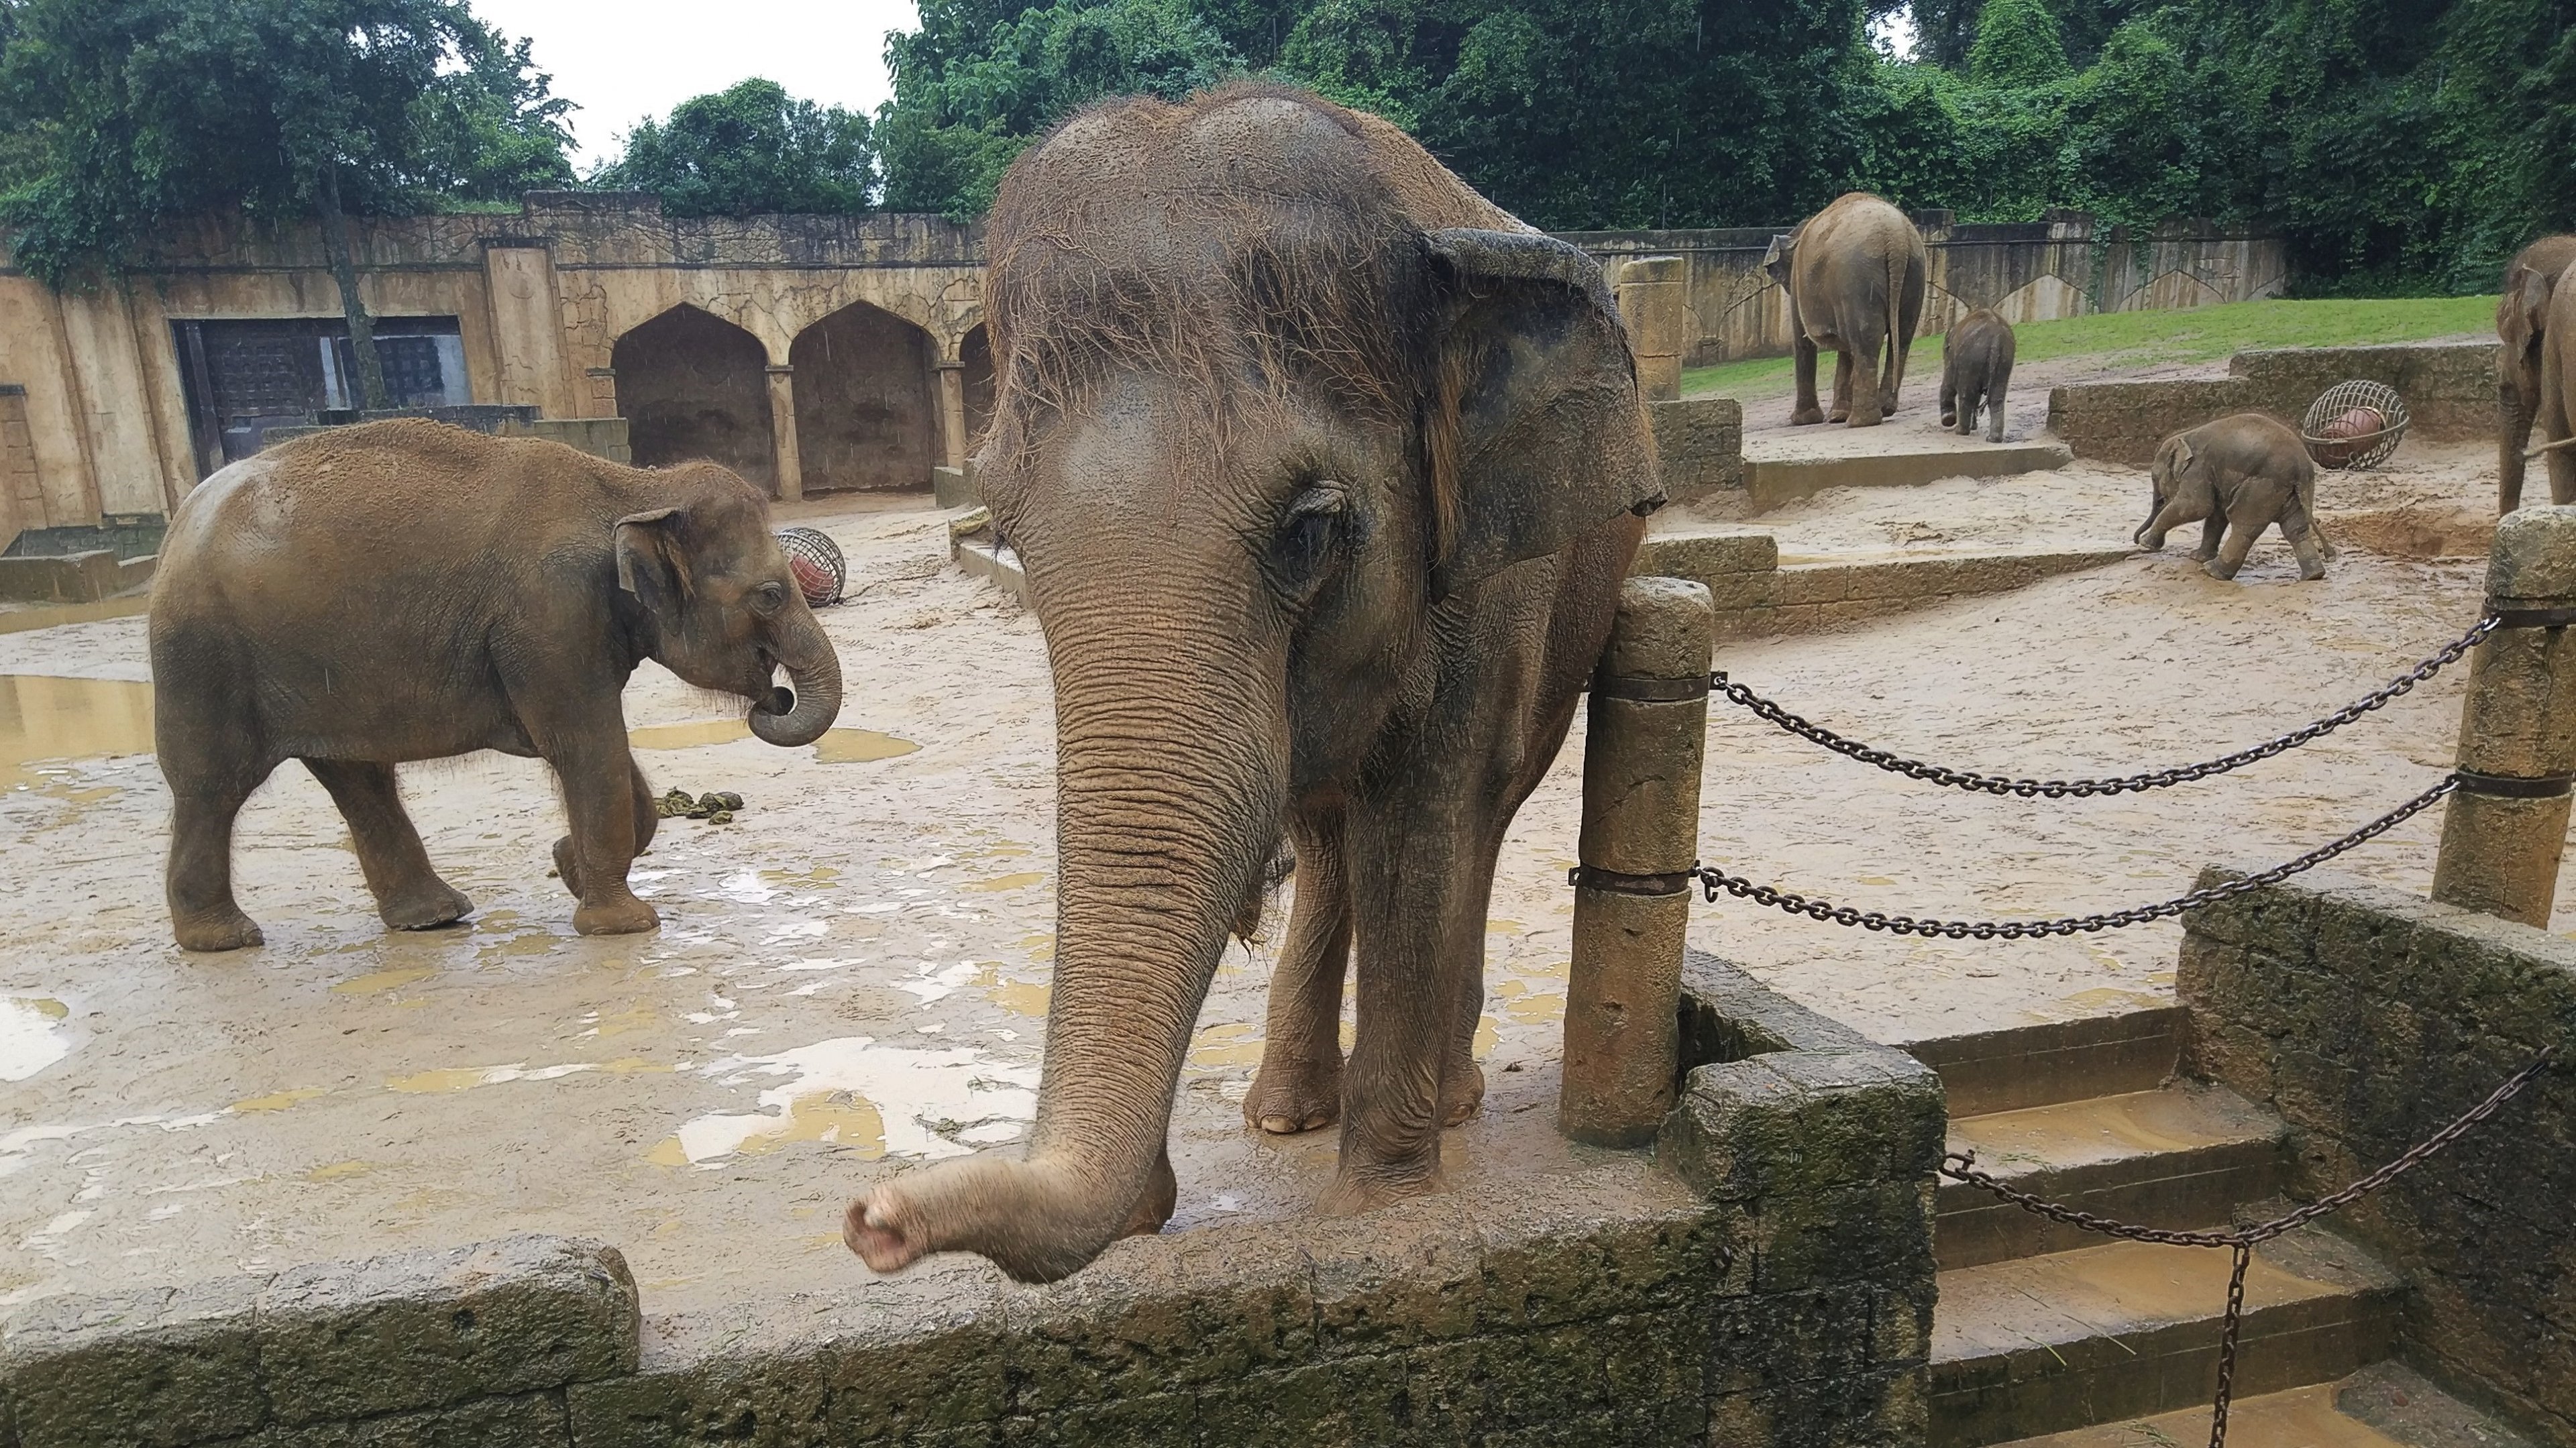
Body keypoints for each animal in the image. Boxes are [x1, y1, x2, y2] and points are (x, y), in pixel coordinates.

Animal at [149, 418, 842, 951]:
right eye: (771, 594)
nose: (775, 698)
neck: (632, 485)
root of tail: (178, 524)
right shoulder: (548, 618)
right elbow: (586, 745)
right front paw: (623, 925)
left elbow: (602, 756)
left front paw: (566, 863)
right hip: (203, 659)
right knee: (213, 783)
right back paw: (224, 939)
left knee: (359, 777)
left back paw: (434, 917)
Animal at [841, 82, 1661, 1284]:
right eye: (1006, 527)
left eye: (1310, 529)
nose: (875, 1217)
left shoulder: (1485, 582)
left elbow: (1422, 819)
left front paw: (1381, 1209)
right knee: (1328, 838)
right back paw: (1283, 1112)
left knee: (1477, 816)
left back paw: (1448, 1098)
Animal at [1764, 193, 1928, 428]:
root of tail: (1896, 238)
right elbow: (1846, 349)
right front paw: (1836, 417)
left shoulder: (1798, 282)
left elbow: (1803, 341)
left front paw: (1803, 421)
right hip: (1914, 272)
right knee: (1903, 334)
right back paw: (1884, 409)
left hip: (1857, 278)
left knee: (1867, 337)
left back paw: (1860, 422)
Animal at [1938, 307, 2016, 442]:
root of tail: (1997, 338)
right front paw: (1973, 426)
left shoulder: (1952, 358)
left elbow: (1949, 383)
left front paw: (1948, 420)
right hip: (2005, 359)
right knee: (1997, 397)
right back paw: (1993, 439)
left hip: (1971, 357)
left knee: (1966, 394)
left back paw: (1961, 432)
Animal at [2134, 412, 2333, 582]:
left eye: (2154, 477)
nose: (2136, 539)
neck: (2185, 437)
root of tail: (2302, 467)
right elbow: (2215, 516)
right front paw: (2196, 557)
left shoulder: (2198, 469)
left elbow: (2197, 507)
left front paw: (2147, 544)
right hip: (2290, 490)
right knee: (2295, 528)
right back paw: (2313, 575)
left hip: (2262, 486)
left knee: (2244, 525)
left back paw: (2213, 572)